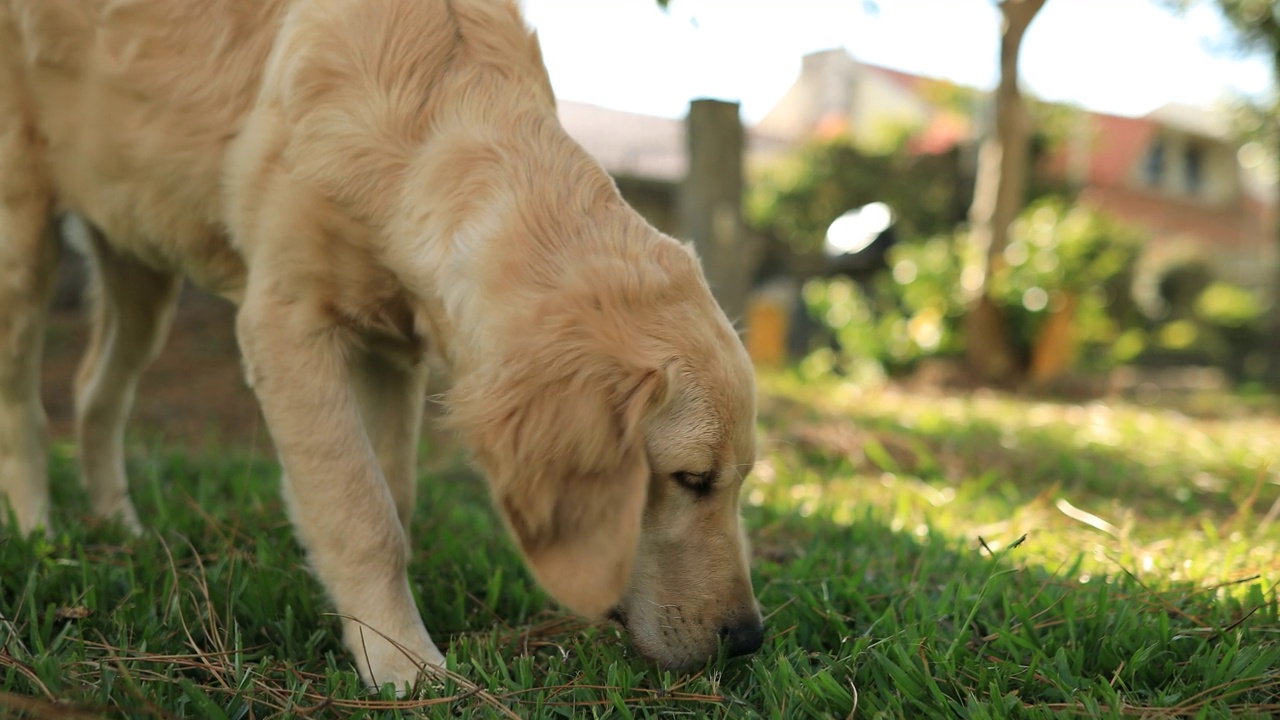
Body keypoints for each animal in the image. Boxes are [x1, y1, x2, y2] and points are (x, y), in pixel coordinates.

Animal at [0, 0, 757, 686]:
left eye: (742, 479)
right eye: (690, 479)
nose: (749, 638)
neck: (434, 109)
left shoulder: (390, 350)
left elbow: (393, 494)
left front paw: (378, 635)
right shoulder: (287, 322)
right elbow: (359, 509)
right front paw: (404, 665)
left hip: (138, 244)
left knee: (95, 392)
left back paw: (118, 530)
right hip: (23, 242)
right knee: (24, 411)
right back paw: (41, 536)